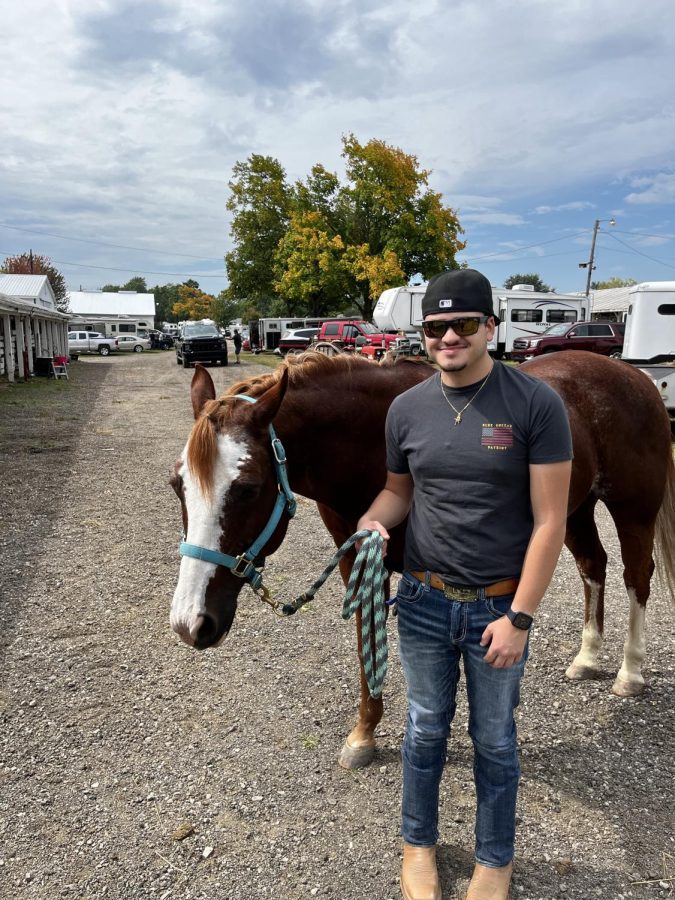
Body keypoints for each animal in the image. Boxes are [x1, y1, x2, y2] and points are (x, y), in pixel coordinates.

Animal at [170, 350, 675, 768]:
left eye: (247, 488)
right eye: (177, 484)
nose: (190, 623)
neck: (370, 441)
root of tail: (635, 376)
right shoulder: (359, 555)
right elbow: (367, 648)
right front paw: (363, 735)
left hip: (632, 509)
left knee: (637, 576)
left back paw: (629, 672)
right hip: (574, 510)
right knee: (593, 566)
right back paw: (587, 658)